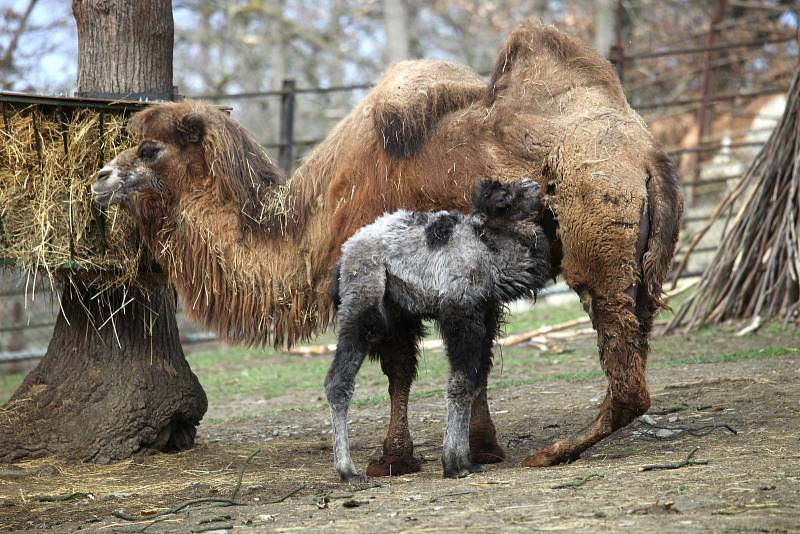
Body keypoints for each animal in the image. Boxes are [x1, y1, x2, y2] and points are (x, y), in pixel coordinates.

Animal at [92, 19, 680, 478]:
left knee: (627, 376)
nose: (99, 177)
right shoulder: (471, 288)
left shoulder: (388, 287)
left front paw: (392, 459)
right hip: (645, 261)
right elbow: (477, 366)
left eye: (149, 149)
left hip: (597, 236)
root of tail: (645, 155)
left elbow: (400, 370)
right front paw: (482, 448)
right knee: (639, 336)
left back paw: (554, 453)